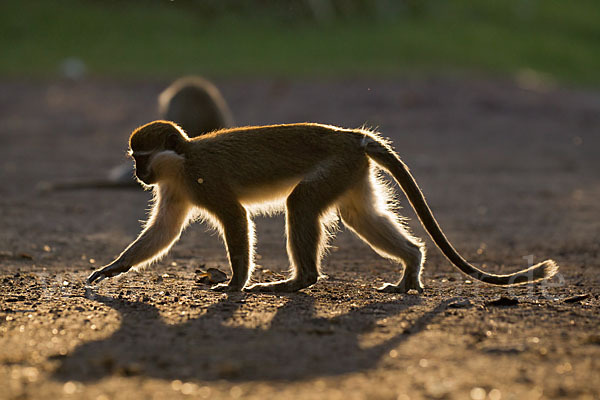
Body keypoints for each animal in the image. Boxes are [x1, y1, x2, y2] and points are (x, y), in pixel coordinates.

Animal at [86, 120, 560, 292]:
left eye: (141, 157)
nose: (138, 175)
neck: (181, 161)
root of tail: (352, 136)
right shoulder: (175, 188)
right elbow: (163, 232)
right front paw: (112, 269)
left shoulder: (204, 179)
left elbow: (236, 217)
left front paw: (235, 283)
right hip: (351, 172)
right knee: (358, 214)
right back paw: (410, 265)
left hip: (337, 165)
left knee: (301, 204)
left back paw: (300, 281)